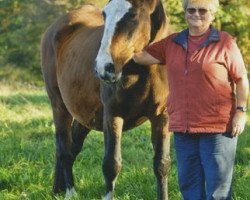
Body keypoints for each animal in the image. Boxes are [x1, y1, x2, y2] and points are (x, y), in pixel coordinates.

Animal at [41, 0, 171, 199]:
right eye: (104, 14)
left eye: (132, 15)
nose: (103, 68)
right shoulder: (113, 114)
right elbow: (111, 164)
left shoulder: (161, 116)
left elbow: (161, 164)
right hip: (59, 106)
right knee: (64, 150)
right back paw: (70, 192)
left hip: (85, 117)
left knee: (71, 147)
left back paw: (58, 189)